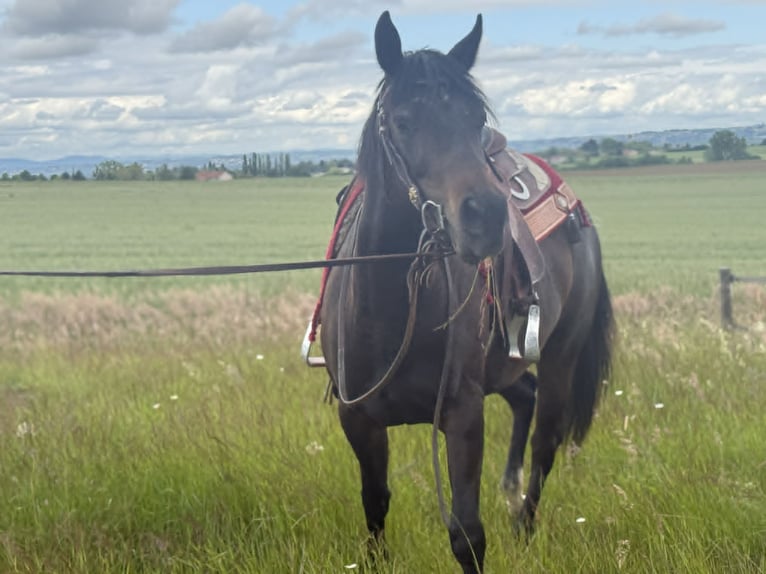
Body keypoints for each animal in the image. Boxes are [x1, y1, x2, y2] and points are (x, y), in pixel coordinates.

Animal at [317, 11, 614, 573]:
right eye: (404, 120)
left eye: (476, 120)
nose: (486, 216)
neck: (392, 312)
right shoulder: (357, 419)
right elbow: (374, 504)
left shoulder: (461, 413)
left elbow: (467, 534)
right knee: (525, 397)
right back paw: (510, 491)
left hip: (561, 354)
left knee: (545, 440)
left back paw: (523, 525)